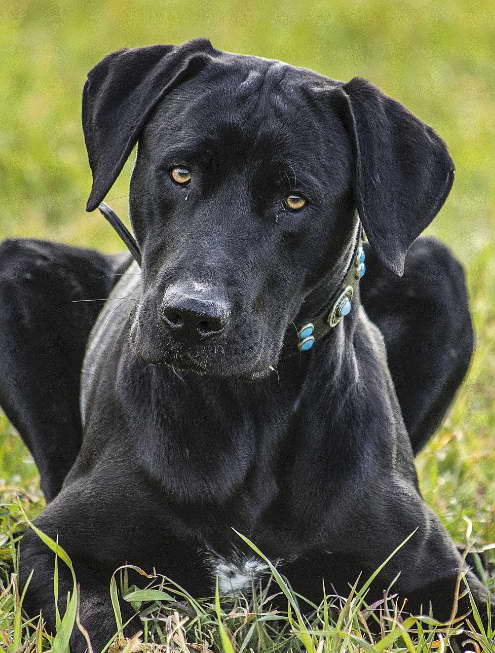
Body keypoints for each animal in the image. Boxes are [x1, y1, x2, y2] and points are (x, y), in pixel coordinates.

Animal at [0, 38, 492, 648]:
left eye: (295, 200)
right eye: (180, 172)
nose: (191, 316)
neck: (250, 410)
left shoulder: (435, 574)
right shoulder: (57, 548)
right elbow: (96, 623)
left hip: (435, 268)